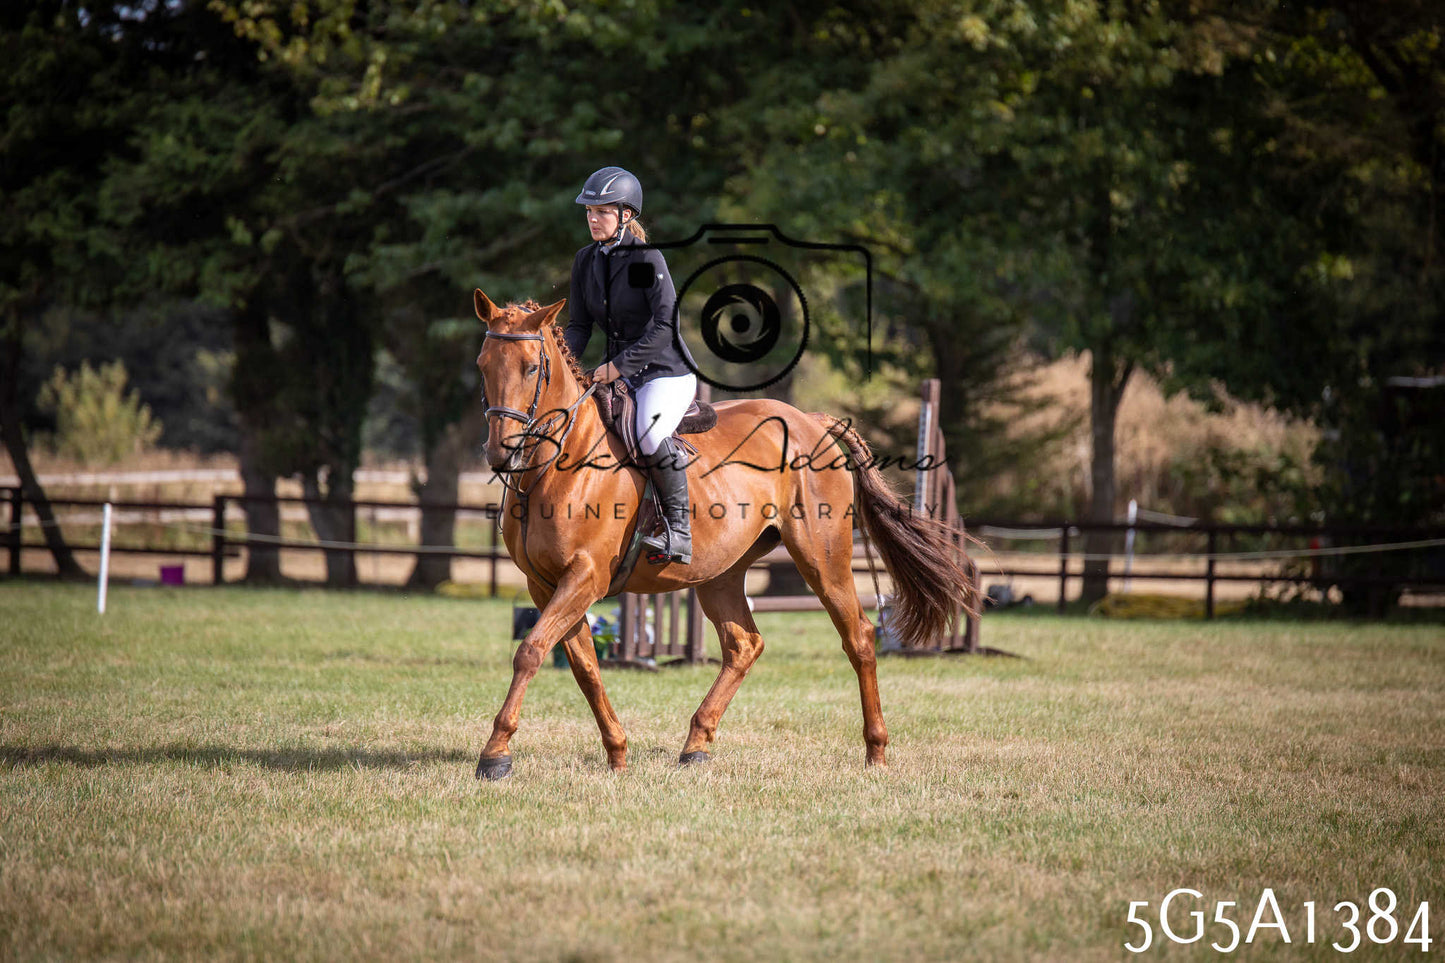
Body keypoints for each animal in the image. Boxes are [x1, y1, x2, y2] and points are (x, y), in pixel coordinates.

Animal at [471, 290, 977, 778]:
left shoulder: (585, 577)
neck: (557, 462)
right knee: (744, 645)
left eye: (531, 367)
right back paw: (697, 745)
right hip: (720, 573)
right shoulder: (547, 585)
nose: (500, 454)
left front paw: (495, 754)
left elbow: (531, 651)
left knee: (859, 637)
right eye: (482, 364)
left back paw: (876, 752)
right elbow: (584, 668)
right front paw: (616, 753)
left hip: (822, 559)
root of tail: (811, 420)